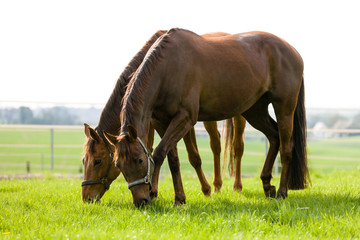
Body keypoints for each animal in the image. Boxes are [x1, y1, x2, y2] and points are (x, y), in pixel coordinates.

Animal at [80, 29, 246, 203]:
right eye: (84, 160)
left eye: (98, 161)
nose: (87, 198)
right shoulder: (152, 122)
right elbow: (154, 150)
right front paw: (153, 191)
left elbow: (193, 157)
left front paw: (204, 190)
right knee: (216, 145)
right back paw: (217, 186)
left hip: (239, 115)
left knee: (237, 147)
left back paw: (235, 186)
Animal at [104, 28, 310, 206]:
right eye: (118, 165)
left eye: (139, 160)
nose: (140, 202)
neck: (169, 67)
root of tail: (293, 51)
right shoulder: (162, 121)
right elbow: (172, 158)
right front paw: (179, 198)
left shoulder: (185, 118)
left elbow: (159, 153)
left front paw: (155, 193)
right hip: (254, 111)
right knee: (274, 137)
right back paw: (267, 185)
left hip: (284, 108)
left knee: (286, 148)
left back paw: (282, 192)